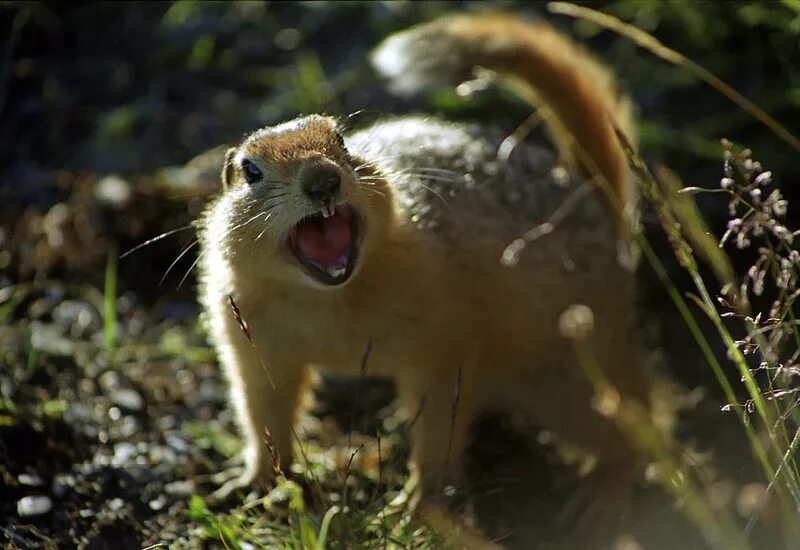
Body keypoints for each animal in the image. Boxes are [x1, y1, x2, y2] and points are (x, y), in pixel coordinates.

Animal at [198, 10, 656, 524]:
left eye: (342, 142)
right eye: (250, 171)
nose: (323, 179)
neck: (334, 298)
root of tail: (595, 202)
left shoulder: (442, 336)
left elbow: (439, 419)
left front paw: (420, 501)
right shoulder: (251, 336)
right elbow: (265, 408)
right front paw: (256, 481)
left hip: (571, 377)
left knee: (641, 424)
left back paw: (602, 495)